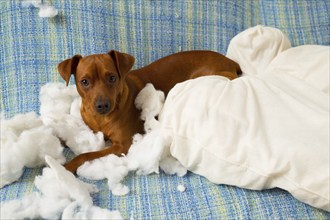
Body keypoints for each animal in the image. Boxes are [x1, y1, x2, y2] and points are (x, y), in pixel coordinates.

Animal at [58, 49, 241, 172]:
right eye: (84, 82)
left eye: (112, 78)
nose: (102, 105)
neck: (101, 119)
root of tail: (231, 61)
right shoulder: (91, 129)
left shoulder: (122, 146)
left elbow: (86, 155)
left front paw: (68, 166)